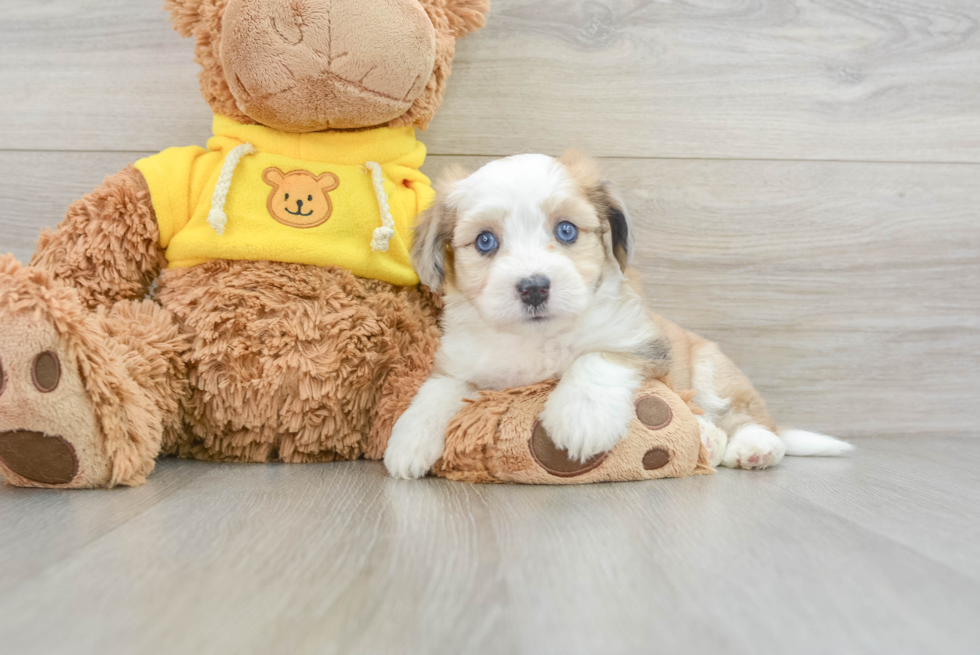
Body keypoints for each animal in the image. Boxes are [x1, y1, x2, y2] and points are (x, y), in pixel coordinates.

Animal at [382, 151, 848, 480]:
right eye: (484, 241)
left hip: (713, 370)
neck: (539, 338)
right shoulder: (463, 360)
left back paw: (755, 447)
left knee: (747, 415)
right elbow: (438, 388)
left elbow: (597, 357)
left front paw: (581, 417)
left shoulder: (641, 340)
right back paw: (709, 440)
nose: (533, 287)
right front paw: (408, 440)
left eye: (566, 230)